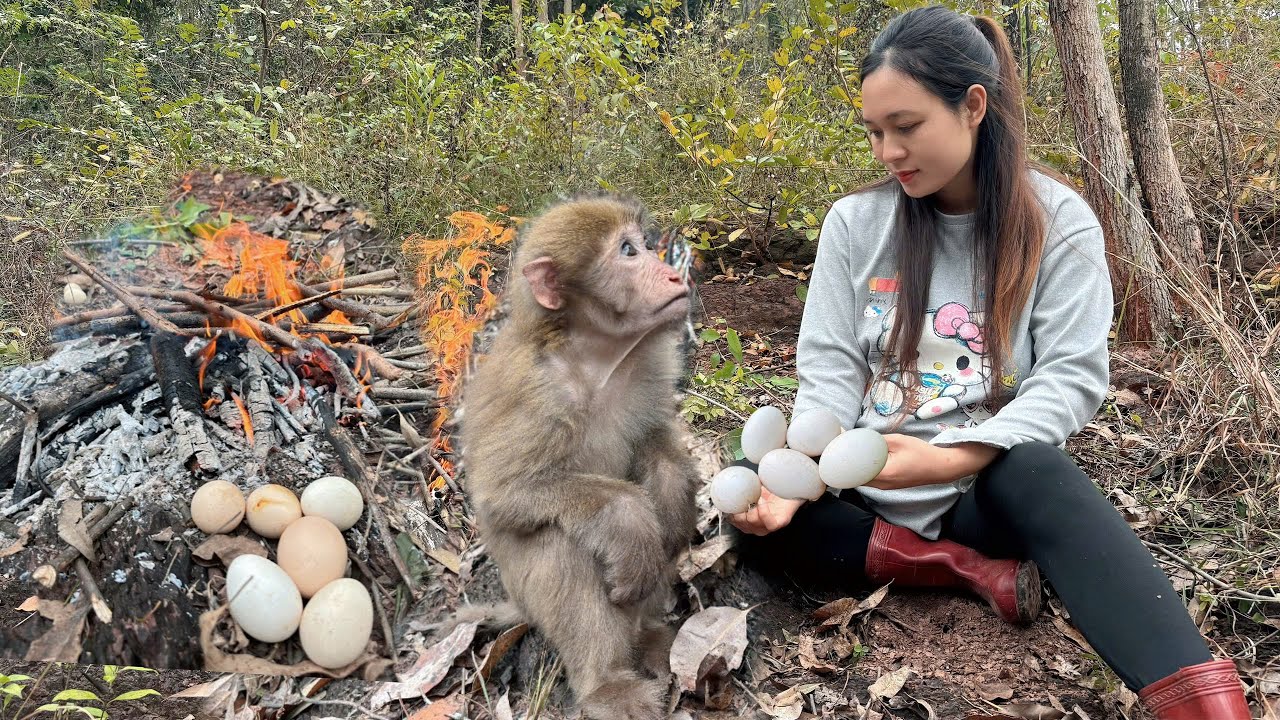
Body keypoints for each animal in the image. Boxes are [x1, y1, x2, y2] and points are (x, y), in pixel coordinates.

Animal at [456, 194, 702, 720]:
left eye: (643, 244)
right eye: (628, 251)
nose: (674, 277)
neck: (596, 358)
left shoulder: (649, 364)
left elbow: (654, 438)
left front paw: (673, 496)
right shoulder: (537, 396)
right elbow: (501, 495)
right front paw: (628, 517)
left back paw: (649, 637)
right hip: (529, 591)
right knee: (560, 545)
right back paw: (606, 686)